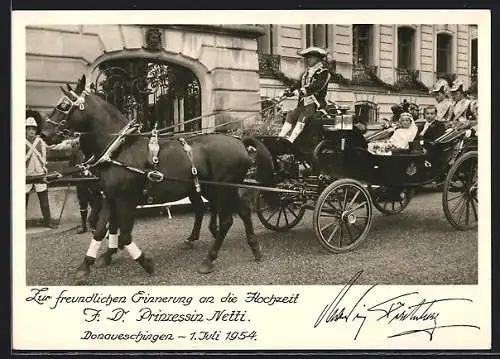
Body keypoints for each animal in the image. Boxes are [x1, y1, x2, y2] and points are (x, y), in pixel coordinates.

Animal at [42, 74, 278, 282]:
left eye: (64, 106)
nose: (44, 134)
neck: (120, 148)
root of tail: (240, 141)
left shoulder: (126, 200)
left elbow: (125, 235)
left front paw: (145, 262)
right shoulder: (110, 197)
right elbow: (101, 231)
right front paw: (87, 264)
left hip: (222, 189)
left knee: (227, 220)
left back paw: (209, 259)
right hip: (218, 189)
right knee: (242, 211)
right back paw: (253, 247)